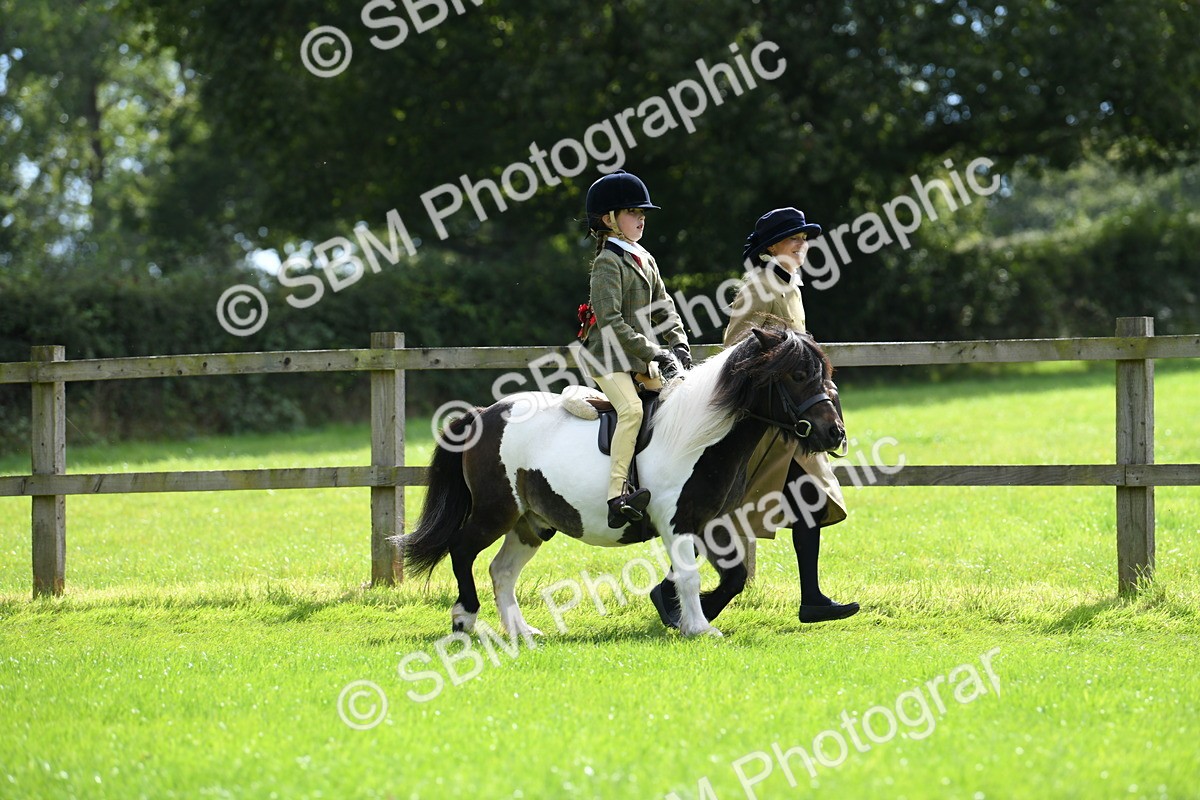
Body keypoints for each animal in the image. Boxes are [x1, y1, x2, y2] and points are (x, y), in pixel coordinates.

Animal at [401, 326, 846, 637]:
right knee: (462, 550)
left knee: (502, 571)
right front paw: (698, 626)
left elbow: (731, 576)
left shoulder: (708, 522)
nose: (834, 434)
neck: (697, 435)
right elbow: (690, 575)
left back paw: (522, 631)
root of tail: (482, 414)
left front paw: (681, 614)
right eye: (798, 374)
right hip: (496, 511)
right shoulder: (677, 522)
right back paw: (464, 619)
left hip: (532, 522)